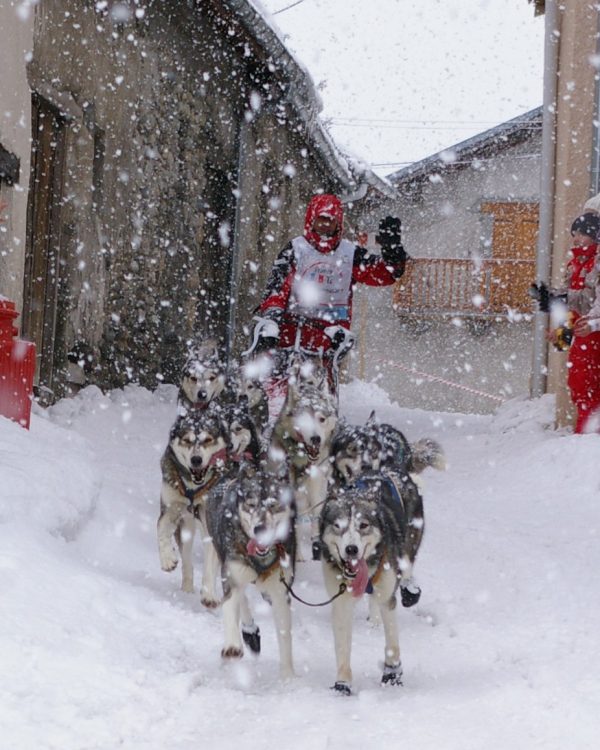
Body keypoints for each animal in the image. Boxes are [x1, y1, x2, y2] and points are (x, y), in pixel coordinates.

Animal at [156, 408, 229, 596]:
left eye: (208, 440)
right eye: (187, 440)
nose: (196, 459)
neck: (193, 490)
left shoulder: (210, 518)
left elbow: (210, 562)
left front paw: (209, 594)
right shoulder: (170, 508)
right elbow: (161, 529)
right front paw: (167, 559)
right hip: (186, 527)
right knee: (187, 558)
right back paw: (187, 589)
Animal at [205, 464, 296, 680]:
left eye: (273, 505)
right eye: (251, 504)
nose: (259, 529)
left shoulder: (279, 591)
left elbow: (284, 634)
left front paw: (288, 677)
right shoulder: (232, 574)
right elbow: (230, 606)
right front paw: (232, 646)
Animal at [318, 478, 412, 696]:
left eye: (364, 525)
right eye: (337, 525)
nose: (351, 549)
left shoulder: (387, 597)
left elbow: (392, 644)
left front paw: (392, 675)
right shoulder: (341, 603)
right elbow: (343, 647)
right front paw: (343, 684)